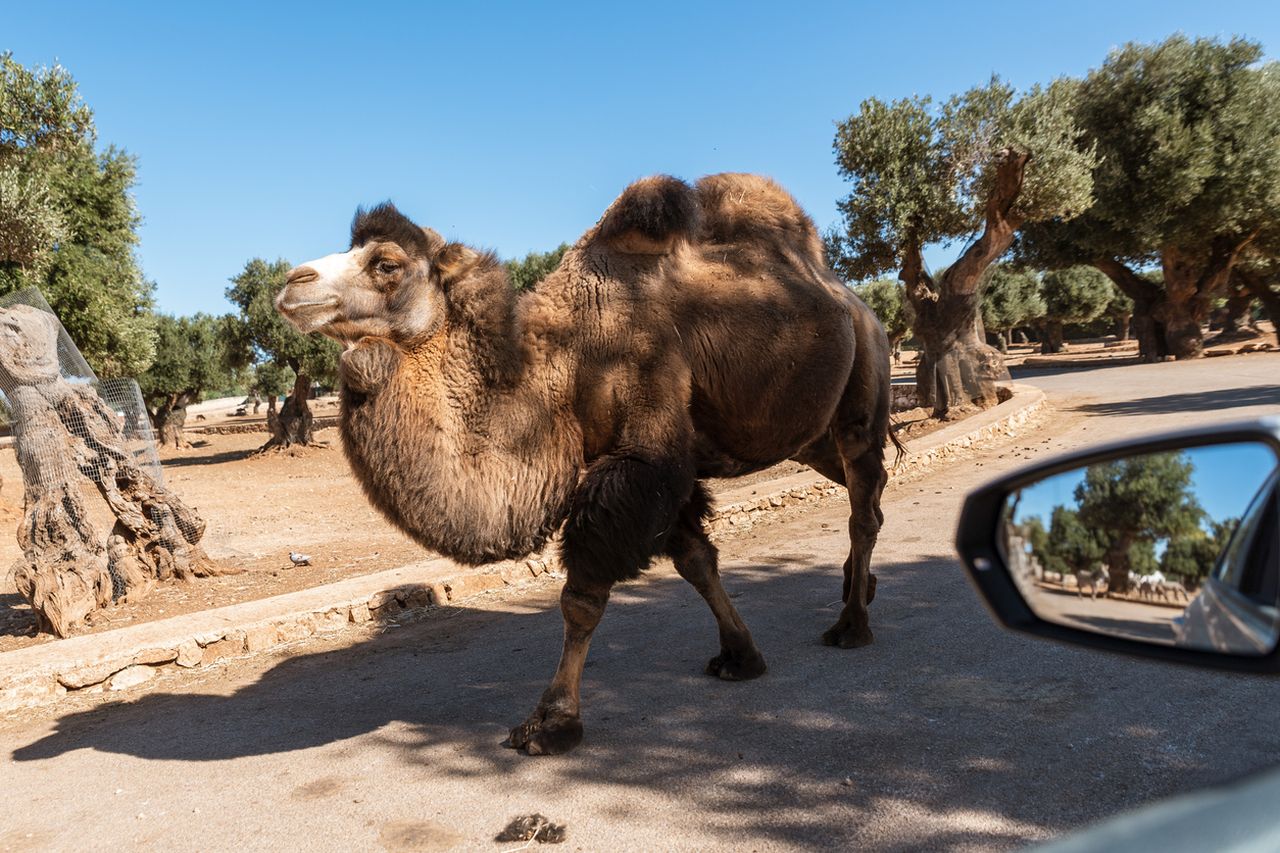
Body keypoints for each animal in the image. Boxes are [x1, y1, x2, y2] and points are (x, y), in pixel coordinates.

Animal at [277, 172, 901, 753]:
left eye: (386, 263)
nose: (291, 283)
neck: (566, 366)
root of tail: (855, 301)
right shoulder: (653, 468)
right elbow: (697, 560)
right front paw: (740, 655)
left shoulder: (645, 453)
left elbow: (581, 598)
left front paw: (552, 721)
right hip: (803, 433)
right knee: (857, 485)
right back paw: (860, 585)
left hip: (863, 384)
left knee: (862, 500)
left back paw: (852, 624)